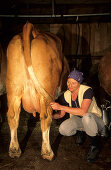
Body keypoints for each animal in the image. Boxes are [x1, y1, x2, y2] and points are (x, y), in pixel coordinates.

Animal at [6, 21, 69, 161]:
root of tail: (34, 31)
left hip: (13, 89)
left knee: (13, 115)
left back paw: (14, 150)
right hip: (46, 91)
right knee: (45, 116)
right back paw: (48, 152)